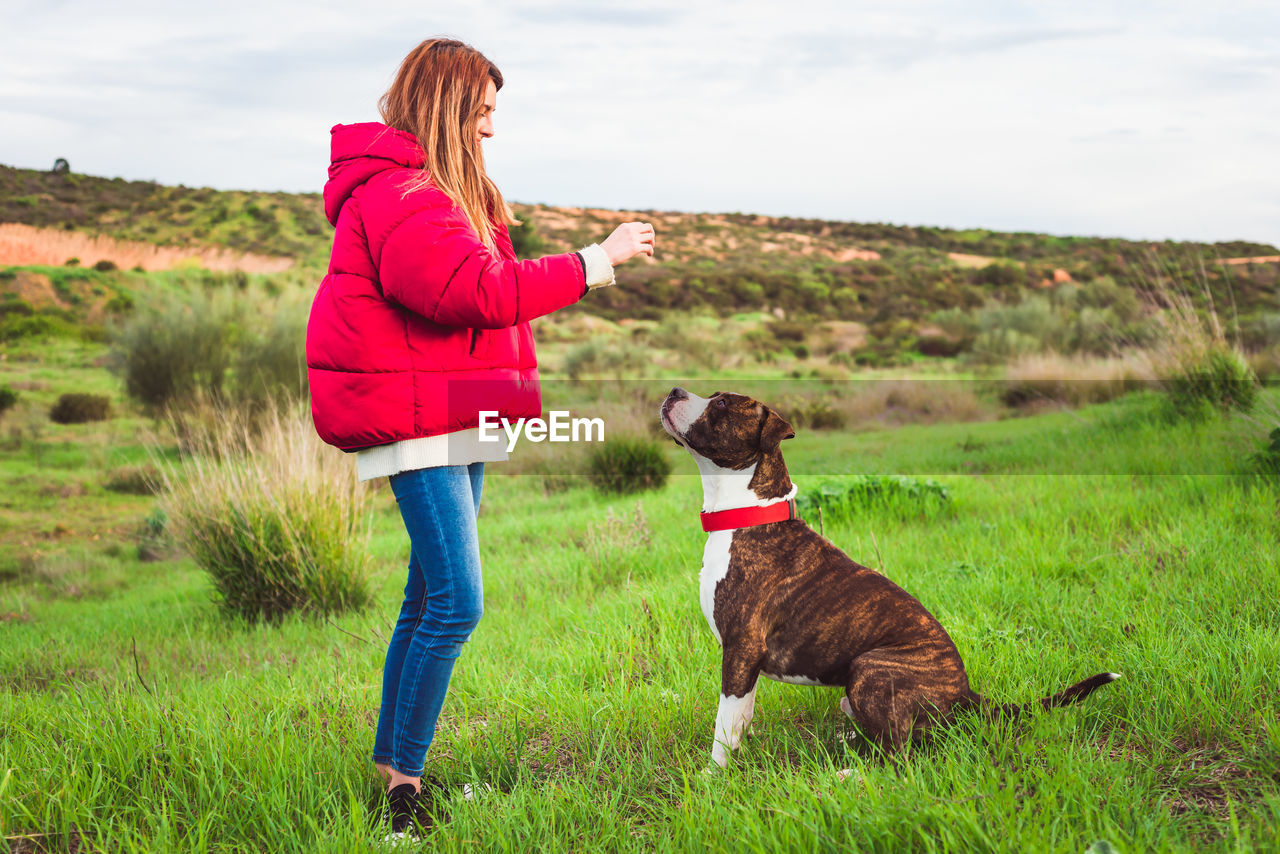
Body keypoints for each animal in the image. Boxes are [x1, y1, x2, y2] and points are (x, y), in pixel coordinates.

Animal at [660, 386, 1121, 768]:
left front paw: (712, 778)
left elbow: (723, 726)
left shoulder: (741, 651)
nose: (675, 390)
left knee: (901, 758)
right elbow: (740, 718)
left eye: (721, 403)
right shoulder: (747, 664)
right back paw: (848, 742)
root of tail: (964, 692)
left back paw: (848, 774)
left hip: (869, 669)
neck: (748, 514)